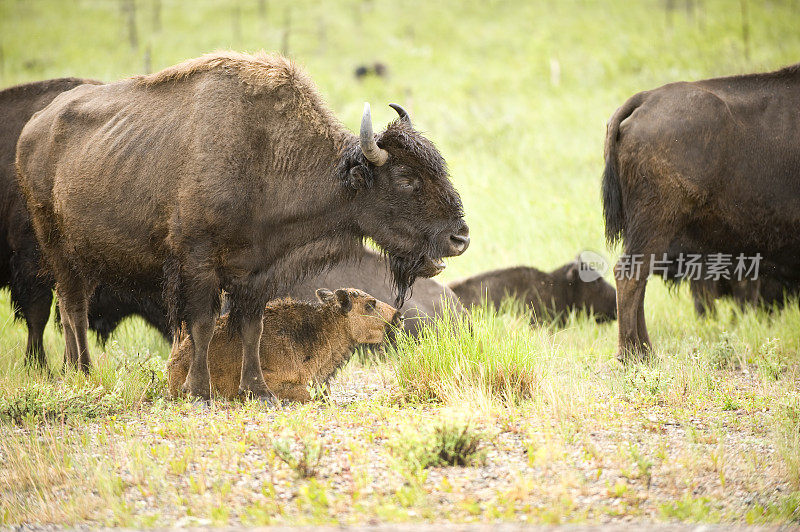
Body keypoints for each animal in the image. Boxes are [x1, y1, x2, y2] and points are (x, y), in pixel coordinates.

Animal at [604, 62, 800, 362]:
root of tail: (646, 98)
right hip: (656, 223)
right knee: (630, 276)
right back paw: (633, 357)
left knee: (639, 280)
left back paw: (646, 352)